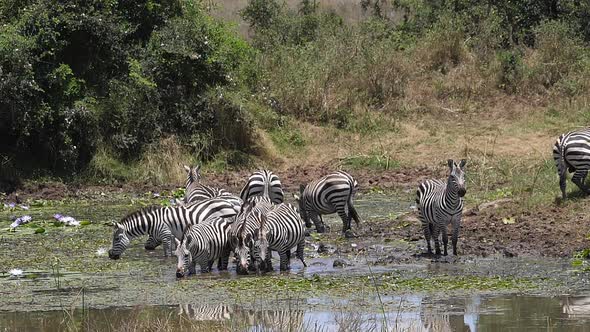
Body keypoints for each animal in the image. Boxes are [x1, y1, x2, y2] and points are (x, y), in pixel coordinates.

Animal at [108, 197, 240, 260]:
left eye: (117, 239)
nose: (110, 255)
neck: (154, 222)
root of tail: (230, 204)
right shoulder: (170, 235)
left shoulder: (165, 234)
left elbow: (167, 254)